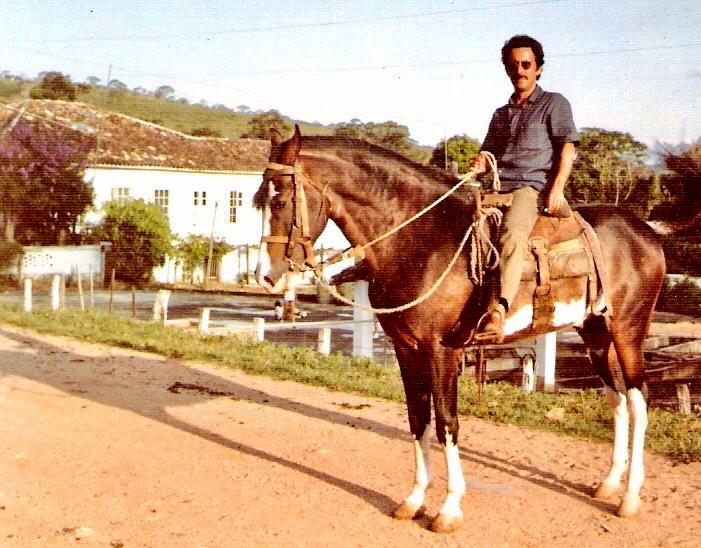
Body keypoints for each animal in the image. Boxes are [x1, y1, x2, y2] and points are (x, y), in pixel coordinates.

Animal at [254, 127, 664, 532]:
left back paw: (629, 497)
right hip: (594, 333)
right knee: (616, 399)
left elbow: (446, 423)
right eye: (258, 201)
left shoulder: (442, 351)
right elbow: (417, 418)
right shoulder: (406, 349)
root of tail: (647, 234)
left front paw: (449, 508)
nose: (265, 276)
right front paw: (414, 500)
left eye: (281, 201)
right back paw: (609, 483)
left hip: (627, 331)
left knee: (638, 399)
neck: (418, 240)